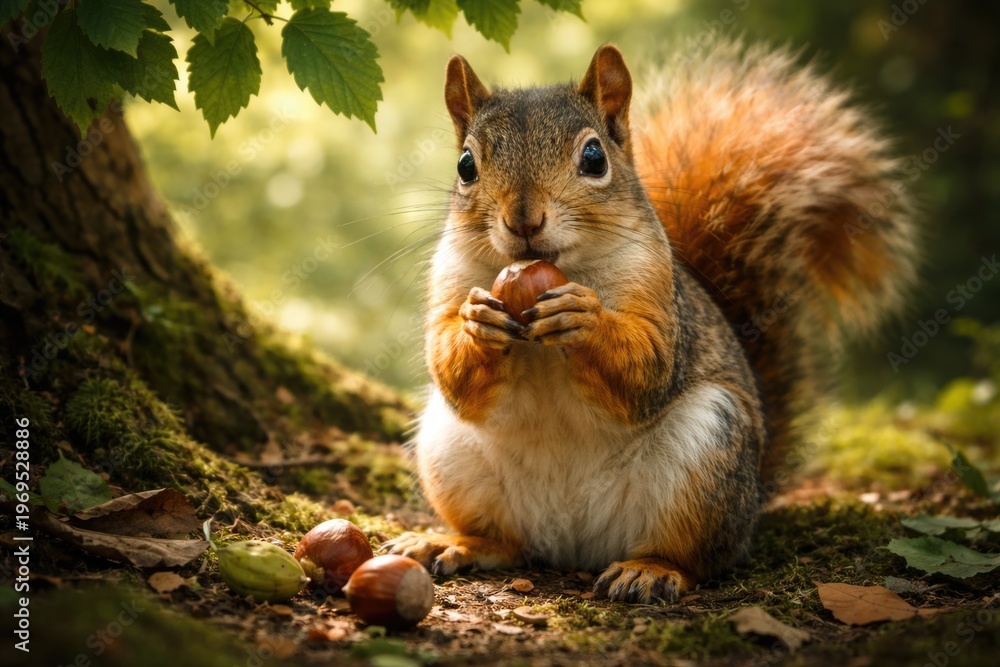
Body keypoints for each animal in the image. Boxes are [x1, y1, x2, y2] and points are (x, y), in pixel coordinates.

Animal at [383, 42, 917, 603]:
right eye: (466, 165)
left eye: (594, 158)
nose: (523, 220)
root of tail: (574, 545)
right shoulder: (450, 276)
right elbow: (452, 372)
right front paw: (475, 322)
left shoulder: (656, 289)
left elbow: (647, 368)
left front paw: (585, 318)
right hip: (451, 452)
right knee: (508, 542)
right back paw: (454, 542)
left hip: (707, 455)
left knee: (699, 557)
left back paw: (652, 570)